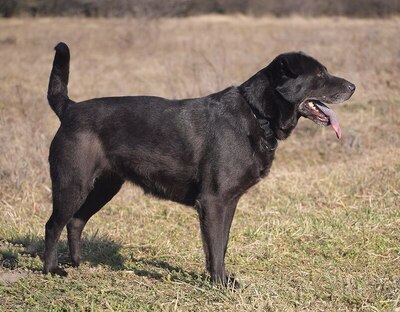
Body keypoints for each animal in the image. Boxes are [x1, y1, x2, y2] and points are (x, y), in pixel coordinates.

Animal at [44, 42, 356, 286]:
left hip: (105, 186)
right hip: (73, 184)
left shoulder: (228, 202)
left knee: (76, 221)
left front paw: (219, 279)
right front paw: (220, 283)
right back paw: (52, 269)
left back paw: (78, 263)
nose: (353, 86)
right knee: (53, 225)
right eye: (320, 74)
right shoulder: (213, 201)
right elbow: (215, 248)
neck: (257, 115)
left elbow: (220, 245)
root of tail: (69, 108)